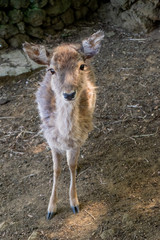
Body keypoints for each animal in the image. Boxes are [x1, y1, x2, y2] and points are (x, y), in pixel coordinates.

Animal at [23, 31, 104, 220]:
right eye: (51, 70)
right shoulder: (50, 139)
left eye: (81, 66)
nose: (69, 94)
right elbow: (56, 169)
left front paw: (74, 203)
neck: (64, 134)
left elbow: (71, 165)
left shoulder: (77, 139)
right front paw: (50, 209)